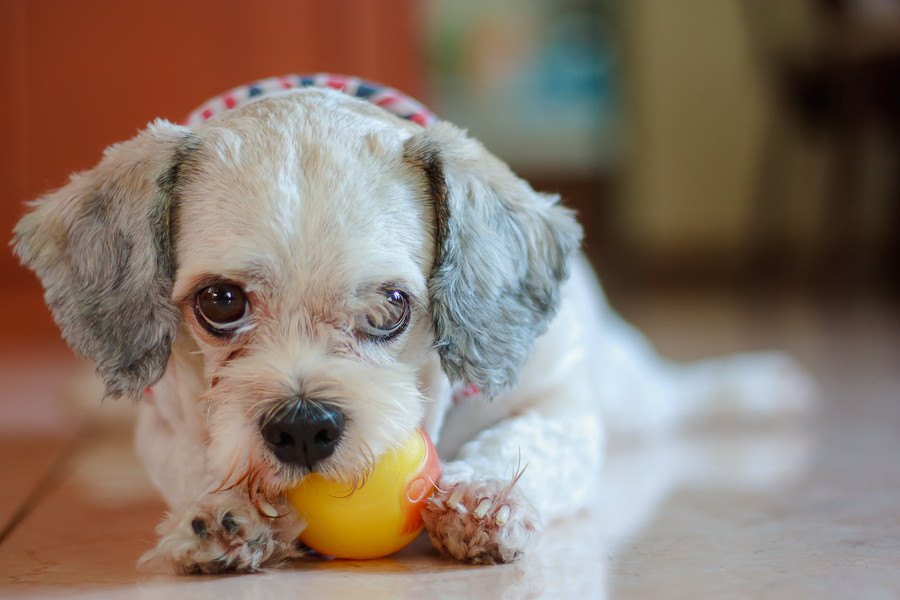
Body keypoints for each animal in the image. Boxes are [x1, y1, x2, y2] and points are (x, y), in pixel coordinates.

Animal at [10, 74, 812, 572]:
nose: (303, 425)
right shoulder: (165, 429)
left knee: (674, 397)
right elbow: (195, 466)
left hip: (630, 388)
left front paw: (485, 497)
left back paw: (758, 388)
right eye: (221, 302)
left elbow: (530, 442)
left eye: (393, 305)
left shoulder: (562, 407)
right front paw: (232, 514)